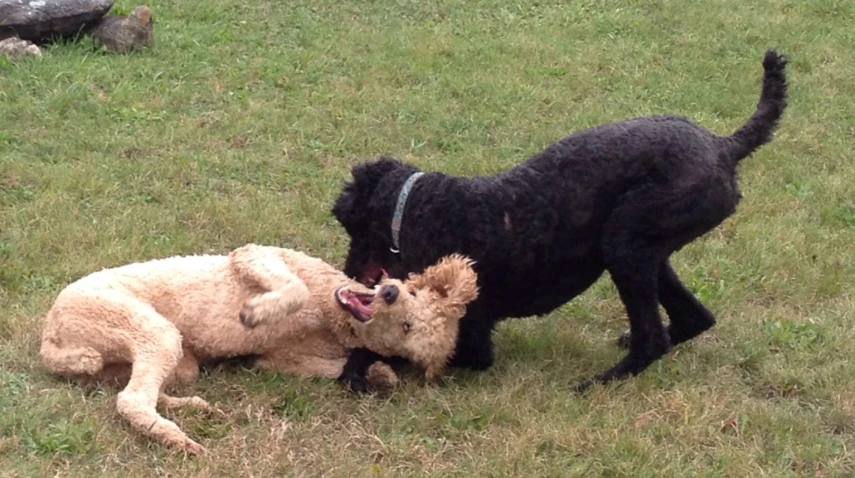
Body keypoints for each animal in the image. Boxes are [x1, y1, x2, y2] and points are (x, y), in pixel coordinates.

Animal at [40, 245, 478, 454]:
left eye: (408, 327)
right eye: (413, 293)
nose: (389, 292)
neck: (329, 313)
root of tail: (51, 337)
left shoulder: (278, 359)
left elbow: (336, 367)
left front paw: (378, 373)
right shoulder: (255, 254)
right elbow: (292, 287)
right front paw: (256, 312)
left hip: (161, 355)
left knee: (135, 392)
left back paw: (191, 413)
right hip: (145, 327)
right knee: (132, 399)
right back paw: (177, 438)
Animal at [332, 49, 784, 392]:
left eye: (352, 229)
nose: (347, 273)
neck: (423, 206)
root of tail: (723, 146)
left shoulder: (473, 339)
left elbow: (395, 351)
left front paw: (357, 370)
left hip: (627, 246)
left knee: (653, 338)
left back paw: (600, 383)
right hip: (647, 251)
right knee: (694, 317)